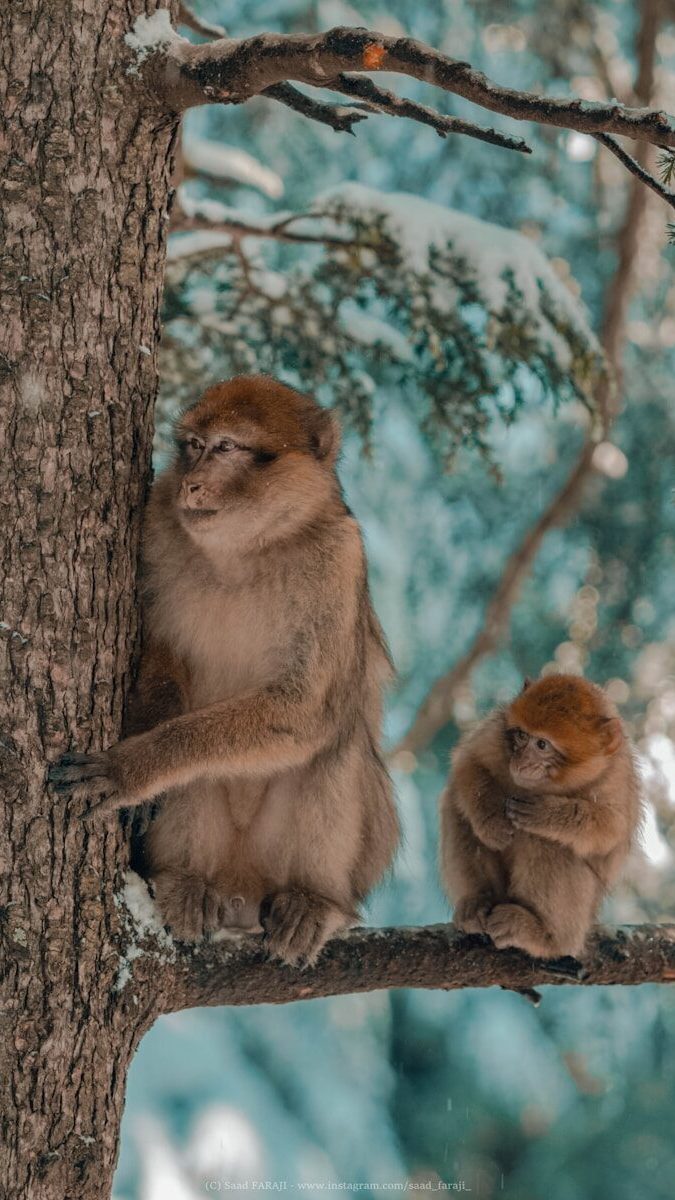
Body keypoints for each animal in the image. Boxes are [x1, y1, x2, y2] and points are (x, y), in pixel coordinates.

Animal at [50, 375, 400, 965]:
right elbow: (161, 653)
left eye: (227, 448)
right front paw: (146, 754)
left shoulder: (338, 561)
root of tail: (242, 890)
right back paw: (184, 881)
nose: (191, 485)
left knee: (336, 742)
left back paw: (313, 901)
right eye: (193, 446)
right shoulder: (156, 528)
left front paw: (134, 766)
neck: (248, 551)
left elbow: (304, 709)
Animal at [439, 674, 642, 960]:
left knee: (545, 841)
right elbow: (468, 763)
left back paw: (545, 936)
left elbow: (611, 828)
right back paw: (478, 901)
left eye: (542, 744)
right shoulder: (495, 733)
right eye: (522, 735)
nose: (521, 762)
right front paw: (491, 822)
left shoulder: (615, 776)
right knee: (456, 806)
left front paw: (547, 814)